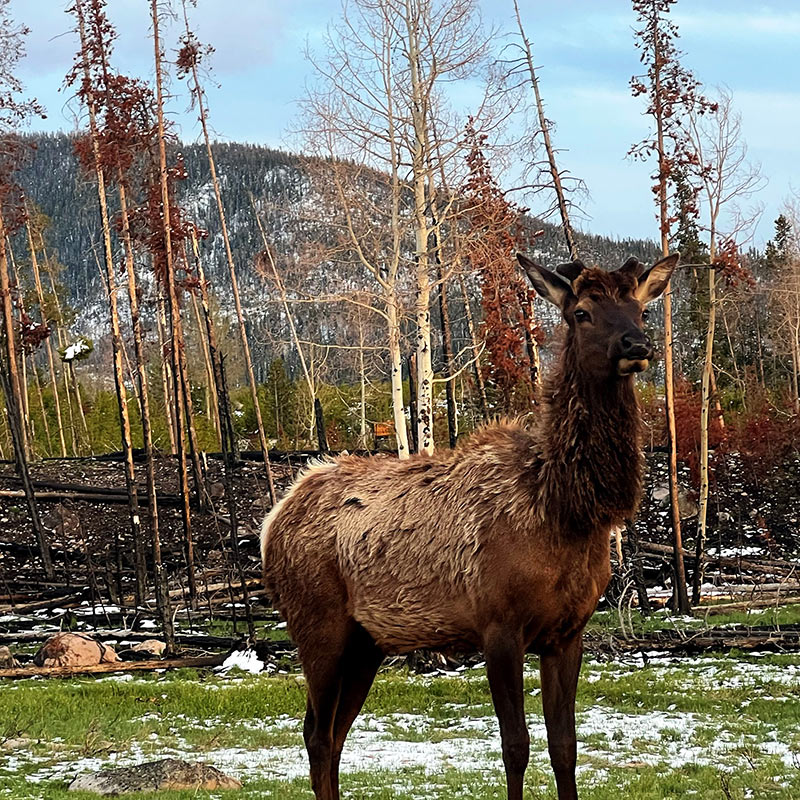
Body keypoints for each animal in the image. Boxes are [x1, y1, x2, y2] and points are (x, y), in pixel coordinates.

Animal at [264, 252, 680, 800]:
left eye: (641, 309)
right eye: (582, 312)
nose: (636, 345)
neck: (567, 511)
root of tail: (273, 520)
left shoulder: (568, 632)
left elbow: (565, 747)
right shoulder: (498, 625)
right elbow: (515, 746)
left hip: (366, 643)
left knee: (333, 735)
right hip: (317, 624)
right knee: (314, 733)